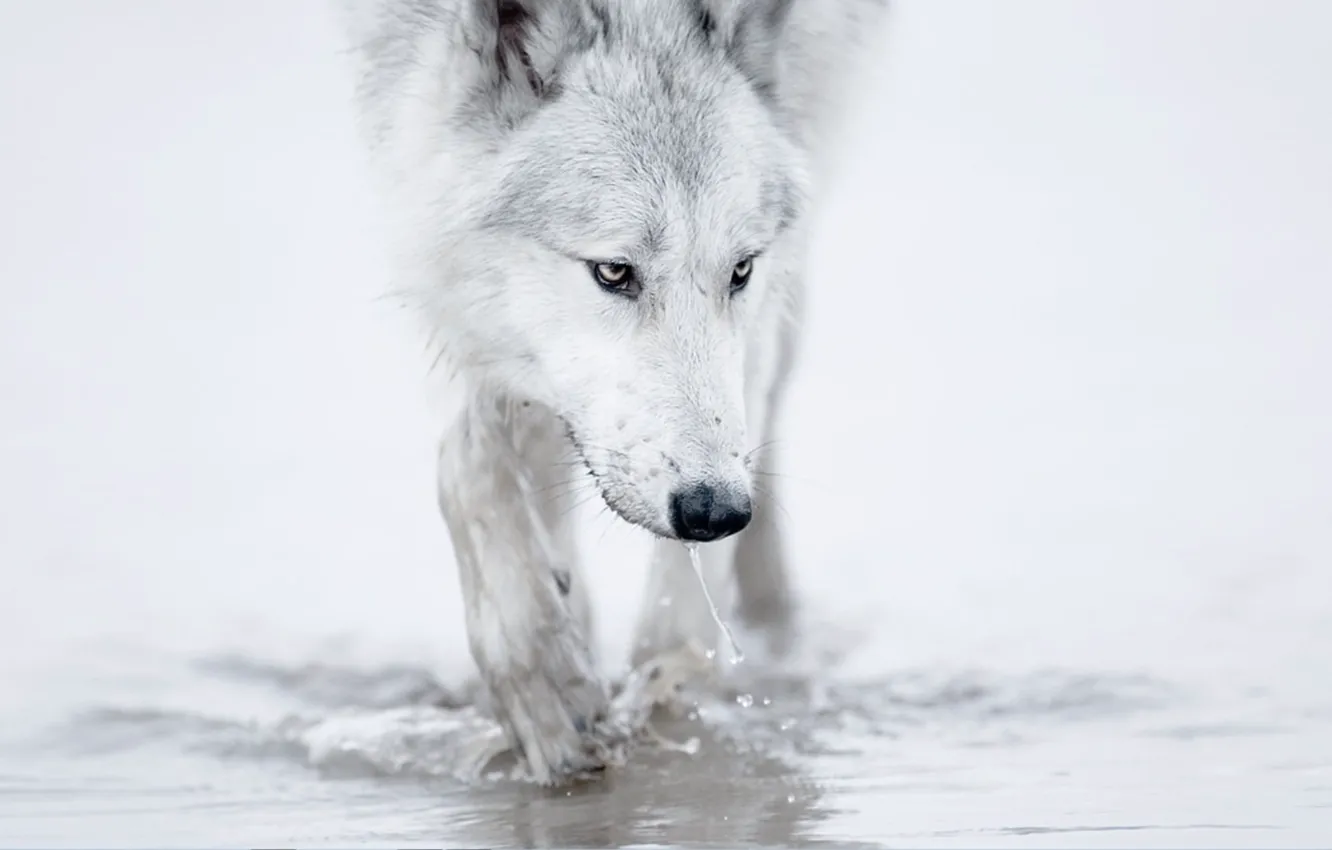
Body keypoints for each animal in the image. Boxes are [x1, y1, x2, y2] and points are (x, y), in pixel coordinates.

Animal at [334, 0, 888, 784]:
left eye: (740, 270)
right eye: (614, 272)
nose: (716, 510)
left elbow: (680, 615)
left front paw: (663, 700)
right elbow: (470, 460)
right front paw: (546, 682)